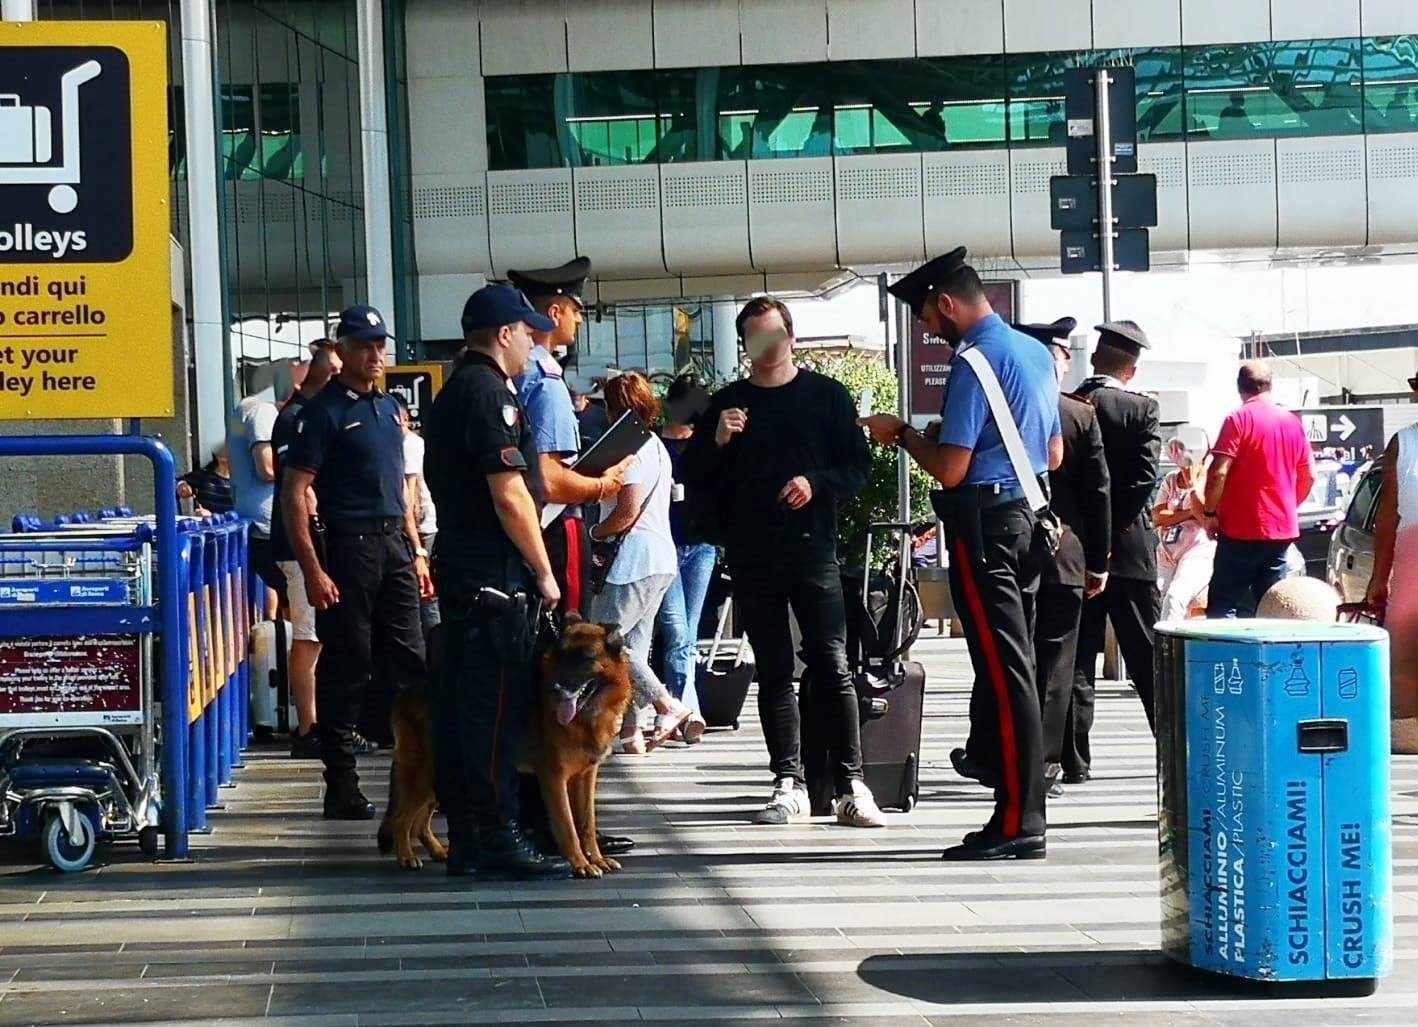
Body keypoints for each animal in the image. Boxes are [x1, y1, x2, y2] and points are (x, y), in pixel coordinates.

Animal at [385, 612, 635, 879]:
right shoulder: (554, 777)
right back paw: (406, 856)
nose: (555, 688)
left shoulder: (585, 776)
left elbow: (587, 824)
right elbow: (568, 826)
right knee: (400, 819)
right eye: (560, 654)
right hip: (426, 773)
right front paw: (579, 863)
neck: (588, 716)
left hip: (437, 778)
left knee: (421, 821)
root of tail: (407, 690)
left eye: (586, 658)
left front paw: (596, 858)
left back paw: (438, 850)